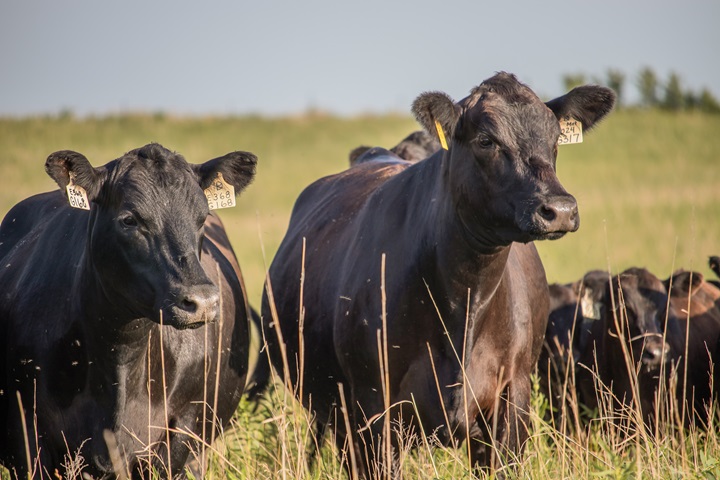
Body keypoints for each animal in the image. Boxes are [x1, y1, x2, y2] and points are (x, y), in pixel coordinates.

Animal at [255, 72, 615, 476]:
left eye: (555, 138)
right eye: (486, 140)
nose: (560, 209)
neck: (465, 302)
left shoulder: (513, 399)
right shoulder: (372, 409)